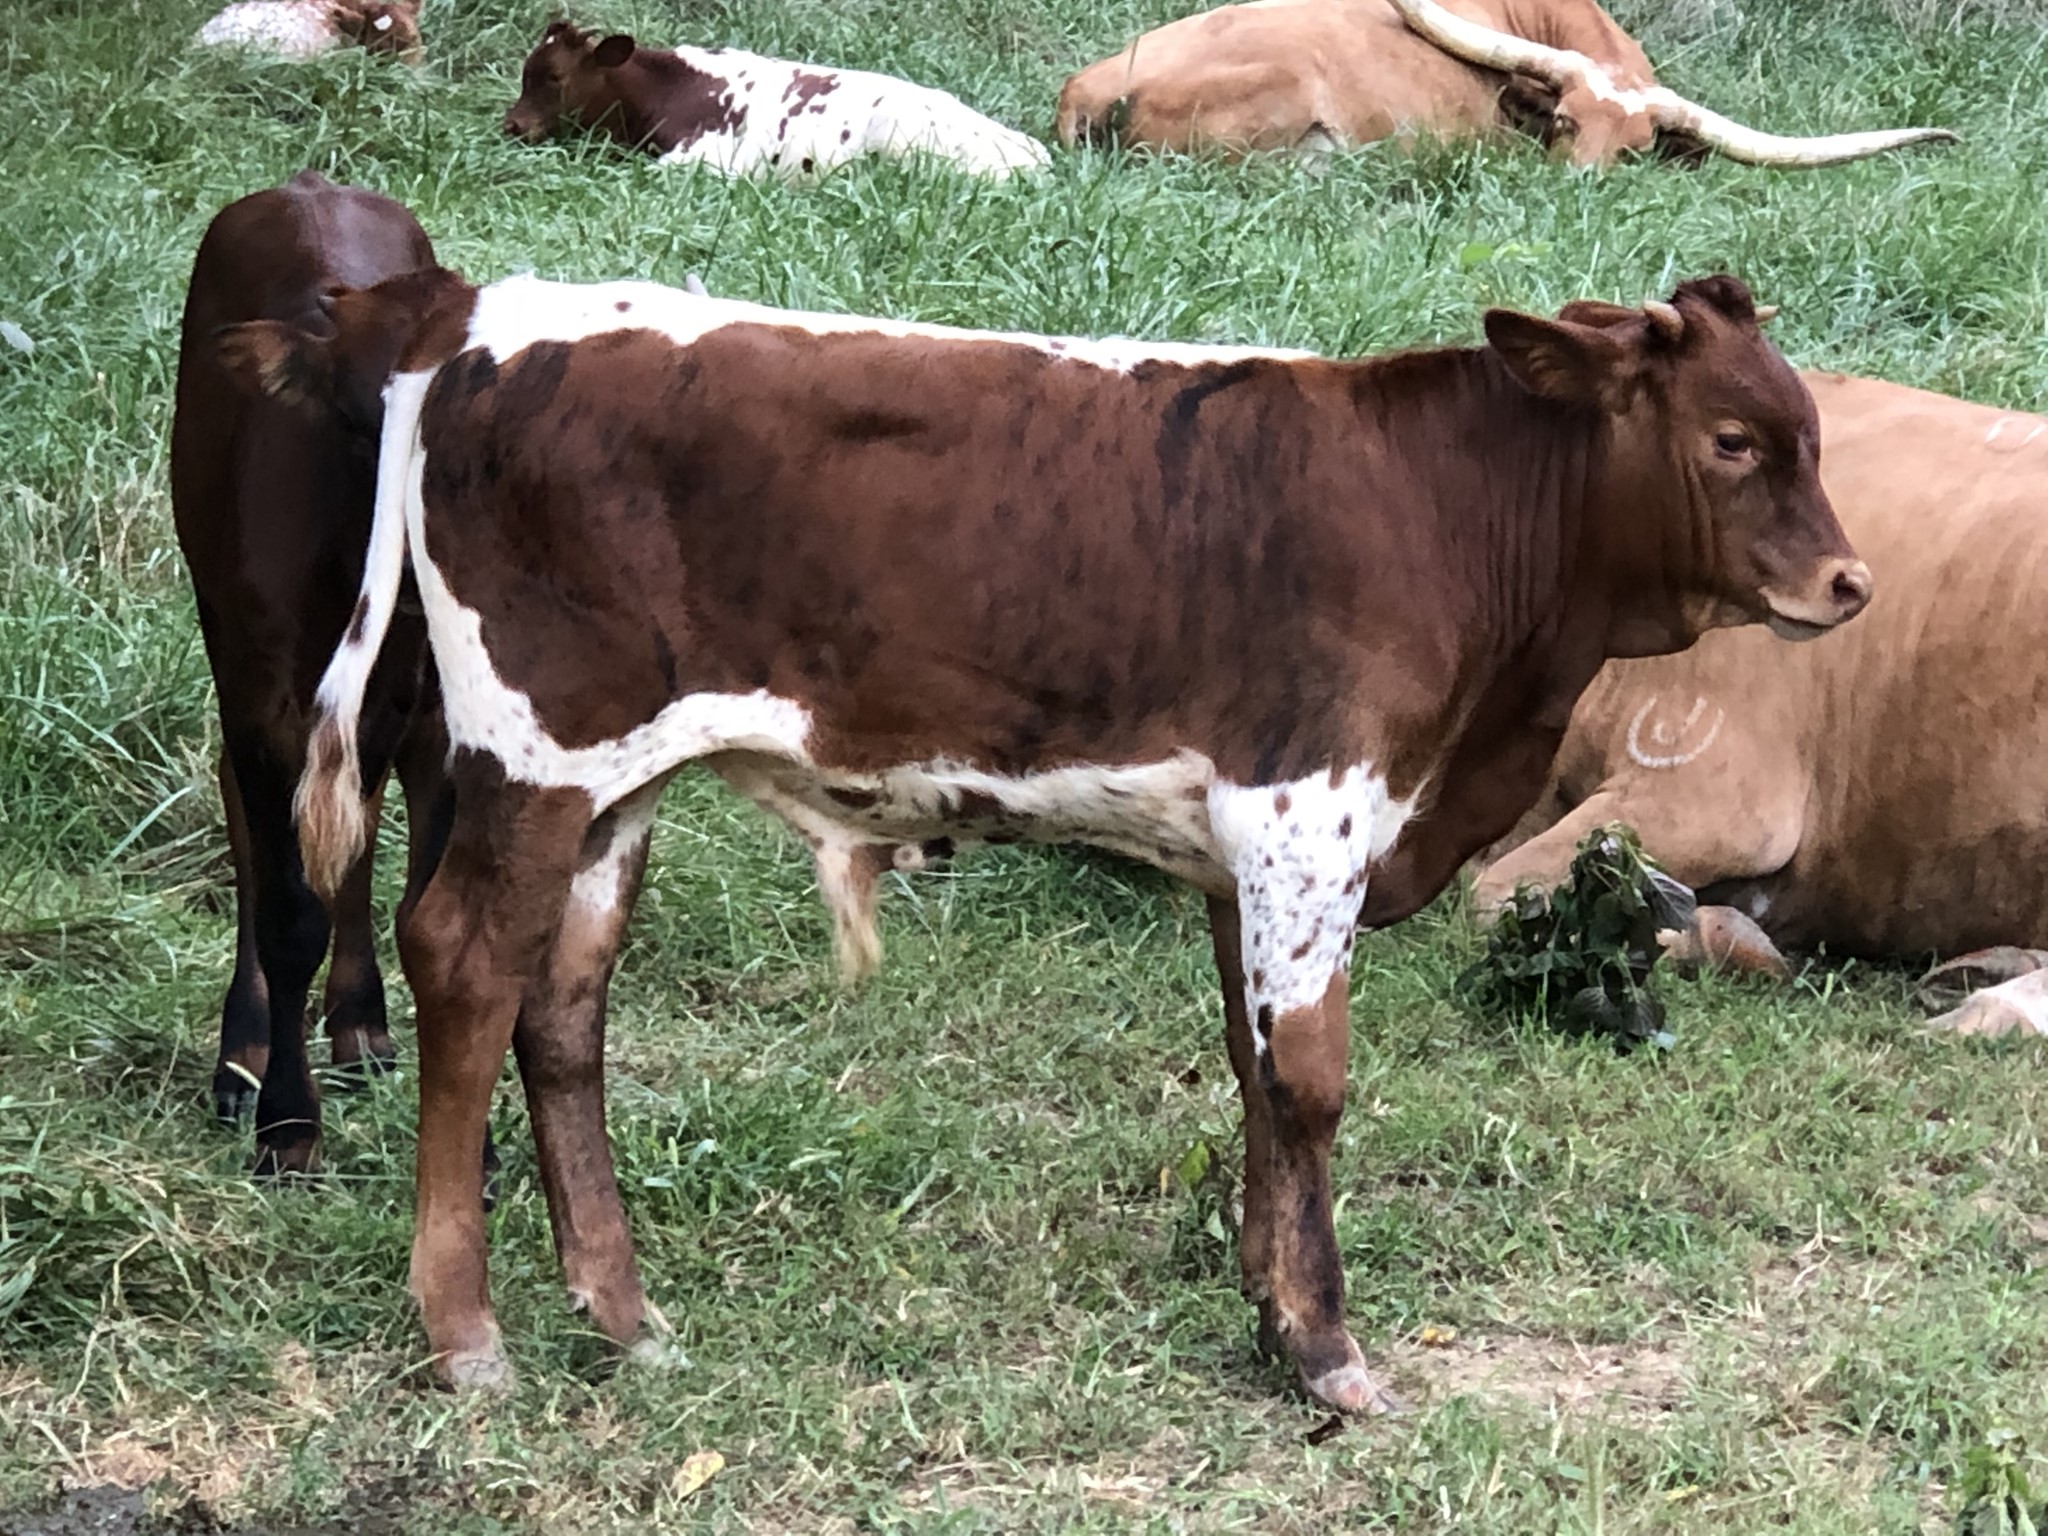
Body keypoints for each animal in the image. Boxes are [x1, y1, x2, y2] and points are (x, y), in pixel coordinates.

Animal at [172, 170, 449, 1175]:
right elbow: (291, 909)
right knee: (251, 817)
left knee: (354, 820)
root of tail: (308, 182)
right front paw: (287, 1127)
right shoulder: (262, 691)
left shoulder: (422, 695)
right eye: (368, 422)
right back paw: (245, 1046)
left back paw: (361, 1024)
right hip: (220, 620)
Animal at [220, 269, 1868, 1411]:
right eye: (1734, 439)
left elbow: (1253, 1073)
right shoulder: (1309, 815)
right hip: (533, 759)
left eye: (1811, 434)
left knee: (563, 1008)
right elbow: (1313, 1083)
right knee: (463, 966)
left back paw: (621, 1318)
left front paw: (1268, 1310)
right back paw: (467, 1335)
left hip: (612, 788)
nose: (1850, 585)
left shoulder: (1243, 848)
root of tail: (472, 312)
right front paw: (1328, 1347)